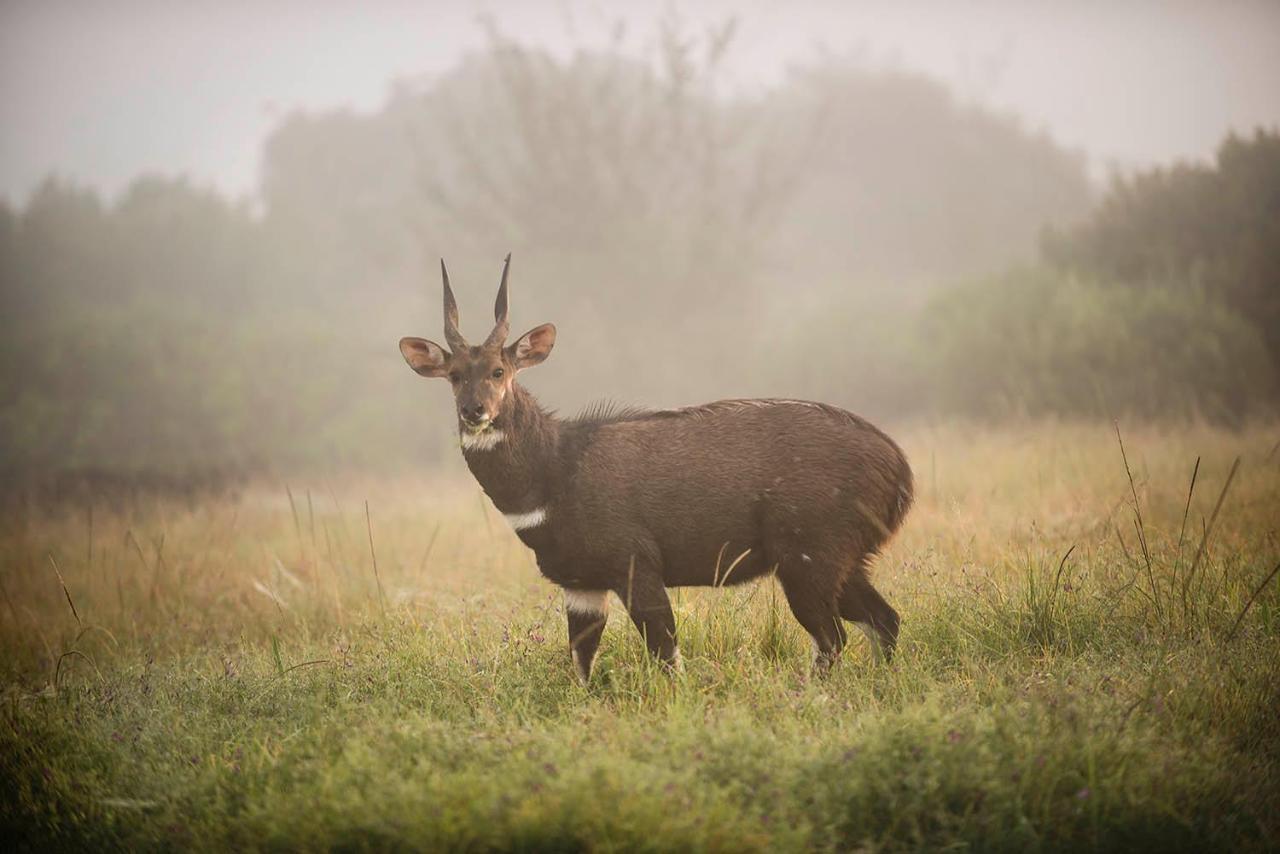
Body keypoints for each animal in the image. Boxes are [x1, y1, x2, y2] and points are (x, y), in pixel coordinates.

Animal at [399, 257, 911, 686]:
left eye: (499, 370)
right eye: (455, 375)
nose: (474, 411)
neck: (557, 471)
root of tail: (900, 469)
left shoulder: (636, 565)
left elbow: (667, 655)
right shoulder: (581, 584)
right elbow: (581, 664)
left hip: (808, 560)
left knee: (834, 637)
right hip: (844, 563)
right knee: (885, 620)